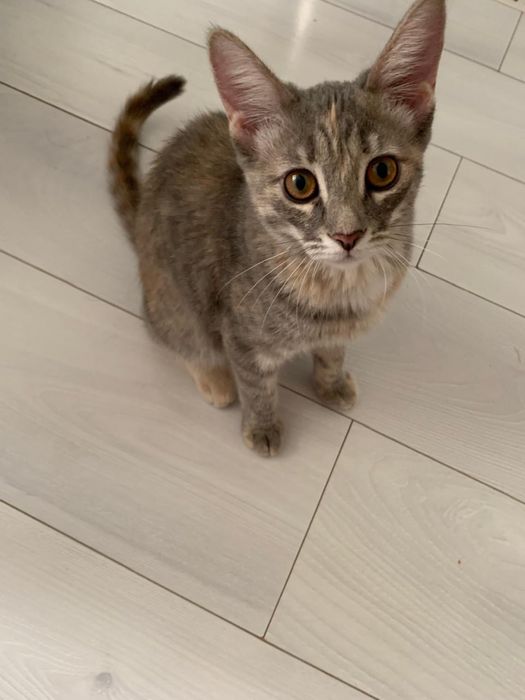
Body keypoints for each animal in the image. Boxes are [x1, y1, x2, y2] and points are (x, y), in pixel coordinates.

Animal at [109, 0, 446, 456]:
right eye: (299, 184)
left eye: (382, 171)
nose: (347, 235)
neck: (337, 291)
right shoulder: (239, 334)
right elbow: (255, 383)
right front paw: (262, 426)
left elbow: (332, 353)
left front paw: (331, 382)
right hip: (173, 301)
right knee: (175, 336)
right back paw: (213, 379)